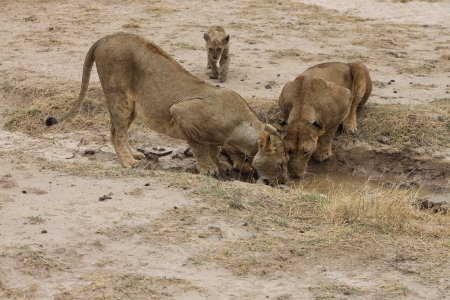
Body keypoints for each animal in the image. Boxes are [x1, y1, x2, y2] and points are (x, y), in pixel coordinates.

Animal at [45, 34, 288, 186]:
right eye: (282, 164)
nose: (285, 181)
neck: (241, 127)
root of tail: (105, 38)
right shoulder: (182, 111)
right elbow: (200, 147)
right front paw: (208, 168)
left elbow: (213, 147)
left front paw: (219, 163)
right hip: (119, 96)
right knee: (116, 132)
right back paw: (128, 162)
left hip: (133, 105)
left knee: (121, 131)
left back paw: (134, 154)